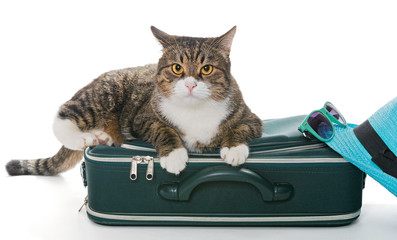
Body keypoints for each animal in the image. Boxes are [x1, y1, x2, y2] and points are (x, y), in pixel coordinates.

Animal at [5, 26, 262, 176]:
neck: (195, 111)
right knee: (63, 114)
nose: (190, 84)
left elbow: (242, 127)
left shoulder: (251, 117)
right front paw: (174, 155)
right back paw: (84, 137)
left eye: (207, 69)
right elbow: (162, 129)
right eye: (177, 68)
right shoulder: (143, 118)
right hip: (107, 91)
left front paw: (234, 149)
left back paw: (103, 136)